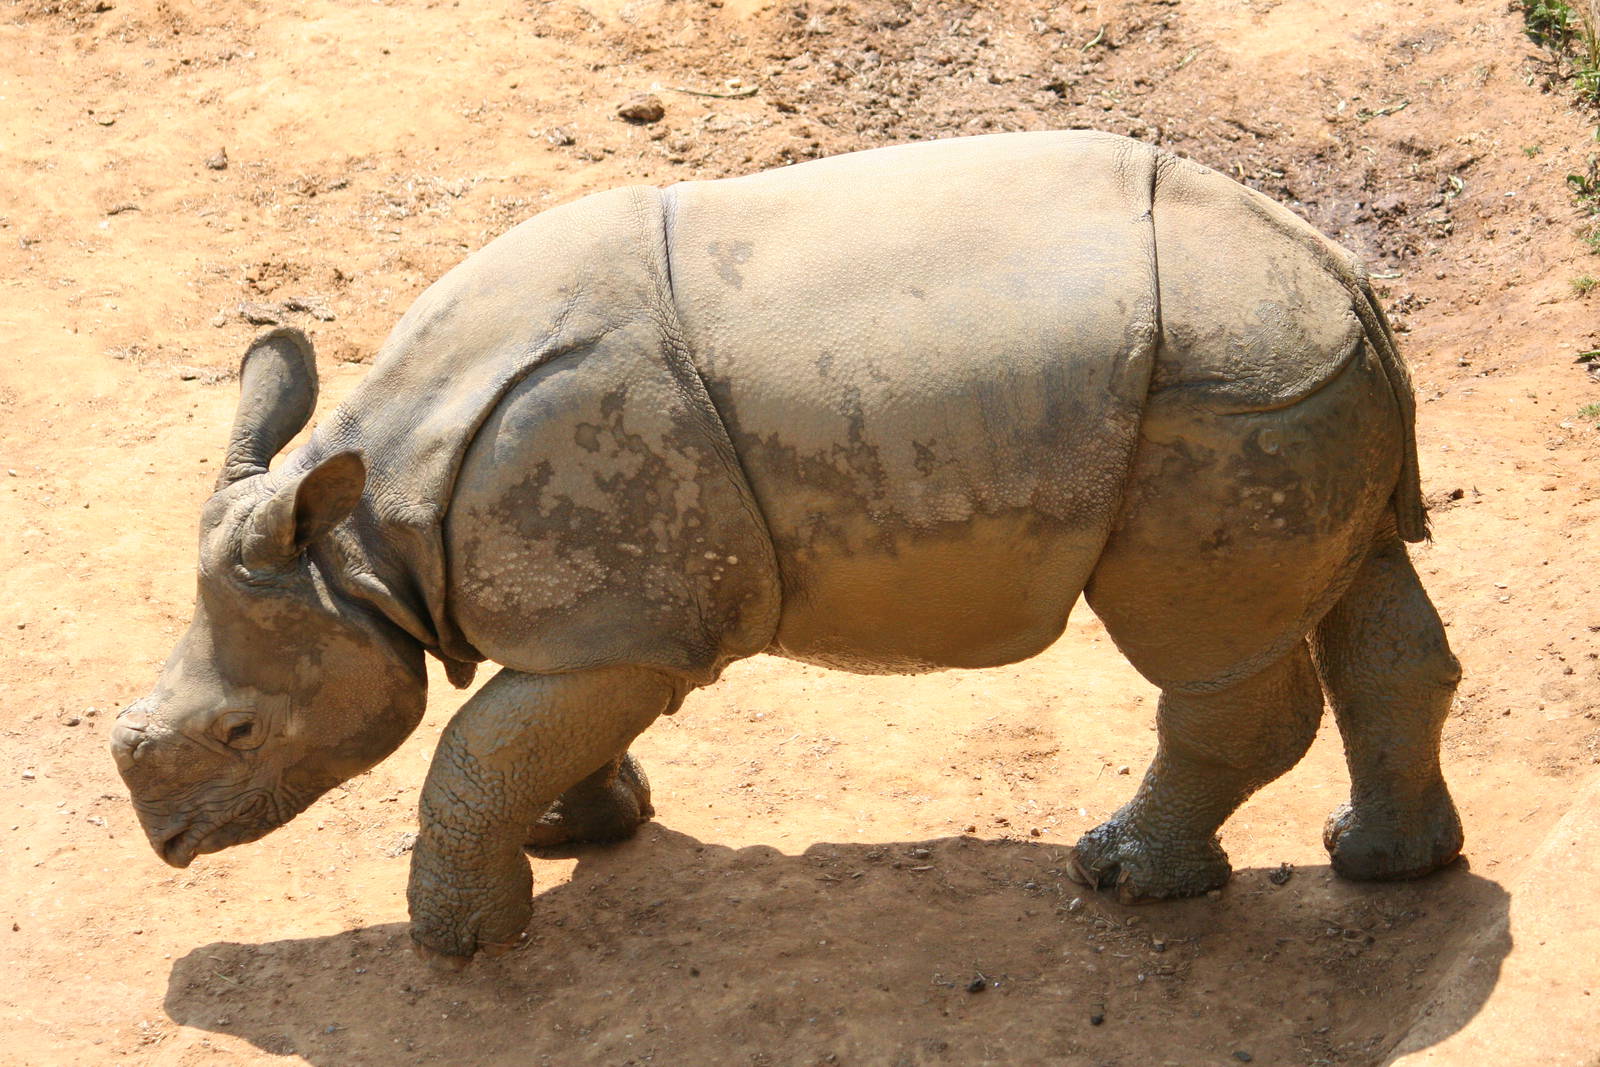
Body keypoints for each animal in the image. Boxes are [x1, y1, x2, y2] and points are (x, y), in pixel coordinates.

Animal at [112, 131, 1463, 967]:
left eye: (240, 731)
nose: (165, 848)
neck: (360, 536)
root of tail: (1339, 268)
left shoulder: (627, 630)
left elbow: (472, 751)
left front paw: (459, 943)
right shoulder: (604, 624)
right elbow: (520, 737)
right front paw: (578, 833)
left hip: (1217, 401)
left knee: (1208, 654)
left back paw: (1120, 877)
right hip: (1288, 387)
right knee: (1358, 593)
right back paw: (1383, 867)